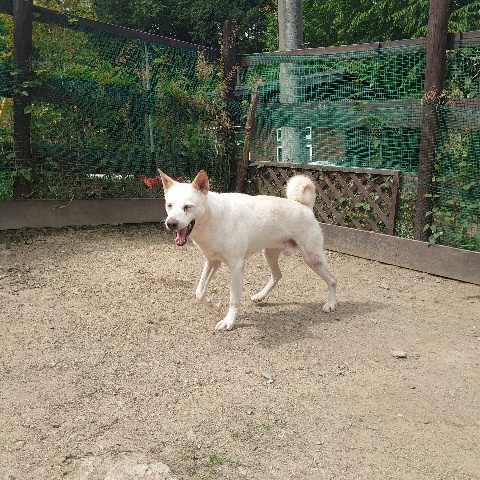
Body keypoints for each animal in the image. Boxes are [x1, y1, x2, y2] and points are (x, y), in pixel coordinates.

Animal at [159, 169, 337, 331]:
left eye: (187, 207)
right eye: (169, 206)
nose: (171, 223)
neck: (213, 218)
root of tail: (305, 206)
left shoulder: (236, 267)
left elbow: (234, 300)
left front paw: (228, 322)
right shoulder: (212, 262)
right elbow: (199, 292)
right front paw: (215, 308)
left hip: (312, 258)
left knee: (333, 280)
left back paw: (331, 304)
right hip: (269, 253)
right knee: (277, 275)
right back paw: (260, 296)